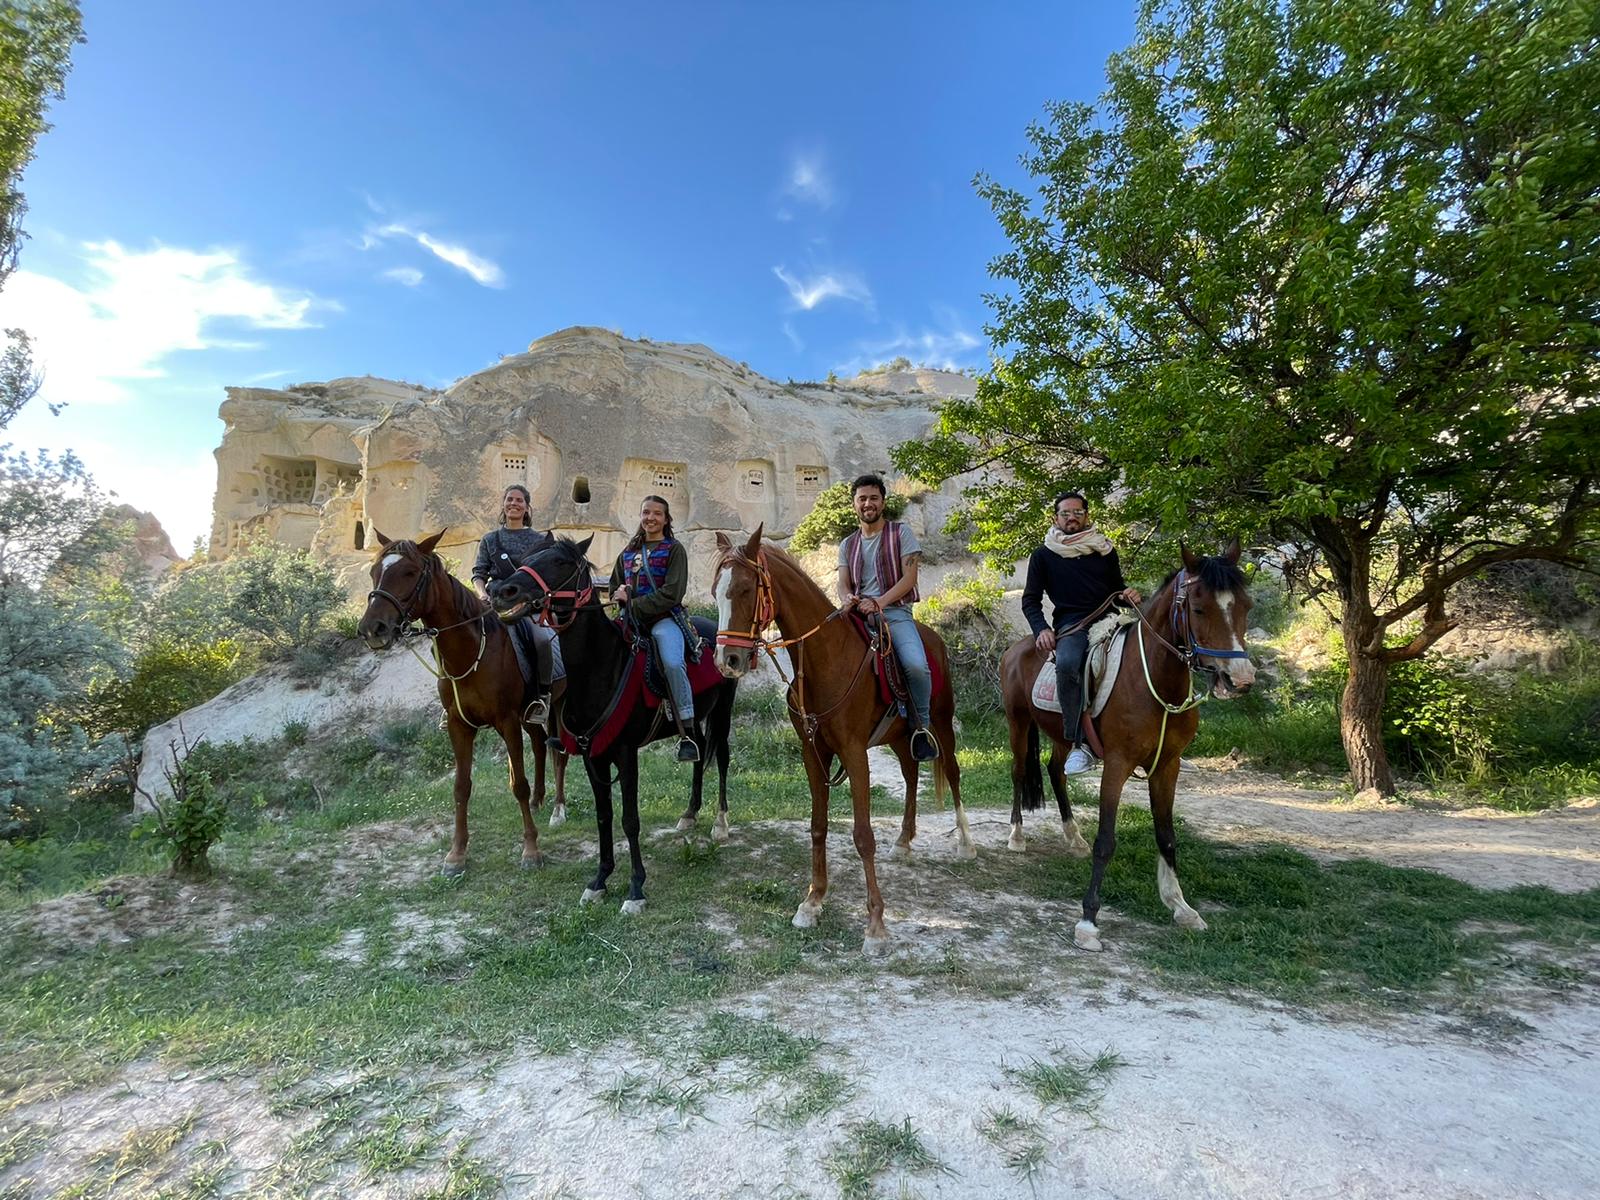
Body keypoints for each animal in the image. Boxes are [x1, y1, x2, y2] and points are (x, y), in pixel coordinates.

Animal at [355, 529, 569, 876]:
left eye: (409, 572)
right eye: (375, 571)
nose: (372, 629)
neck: (471, 652)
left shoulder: (507, 722)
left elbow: (518, 784)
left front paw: (531, 850)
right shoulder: (459, 726)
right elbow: (461, 788)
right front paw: (456, 855)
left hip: (559, 706)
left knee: (558, 753)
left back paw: (558, 810)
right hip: (531, 714)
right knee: (539, 745)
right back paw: (539, 800)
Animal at [486, 535, 739, 915]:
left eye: (560, 562)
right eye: (525, 559)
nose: (503, 590)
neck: (601, 667)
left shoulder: (625, 753)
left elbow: (629, 820)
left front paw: (635, 888)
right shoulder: (594, 757)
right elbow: (604, 815)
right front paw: (600, 881)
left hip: (723, 711)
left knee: (721, 757)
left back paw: (720, 824)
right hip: (692, 720)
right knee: (695, 753)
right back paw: (689, 814)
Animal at [710, 527, 976, 954]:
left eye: (747, 589)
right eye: (715, 591)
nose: (727, 660)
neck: (825, 659)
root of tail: (932, 637)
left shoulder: (853, 753)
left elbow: (862, 835)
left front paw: (876, 924)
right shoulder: (812, 752)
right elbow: (818, 825)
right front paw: (812, 902)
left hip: (941, 725)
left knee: (951, 772)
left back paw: (965, 841)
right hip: (900, 736)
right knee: (911, 774)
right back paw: (903, 841)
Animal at [1000, 541, 1256, 951]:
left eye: (1245, 606)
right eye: (1199, 608)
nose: (1240, 679)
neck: (1154, 680)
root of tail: (1020, 645)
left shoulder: (1168, 765)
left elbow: (1167, 836)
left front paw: (1181, 907)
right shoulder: (1118, 764)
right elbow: (1106, 841)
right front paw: (1088, 922)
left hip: (1061, 735)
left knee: (1056, 771)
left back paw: (1073, 838)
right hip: (1018, 723)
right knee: (1020, 771)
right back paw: (1017, 836)